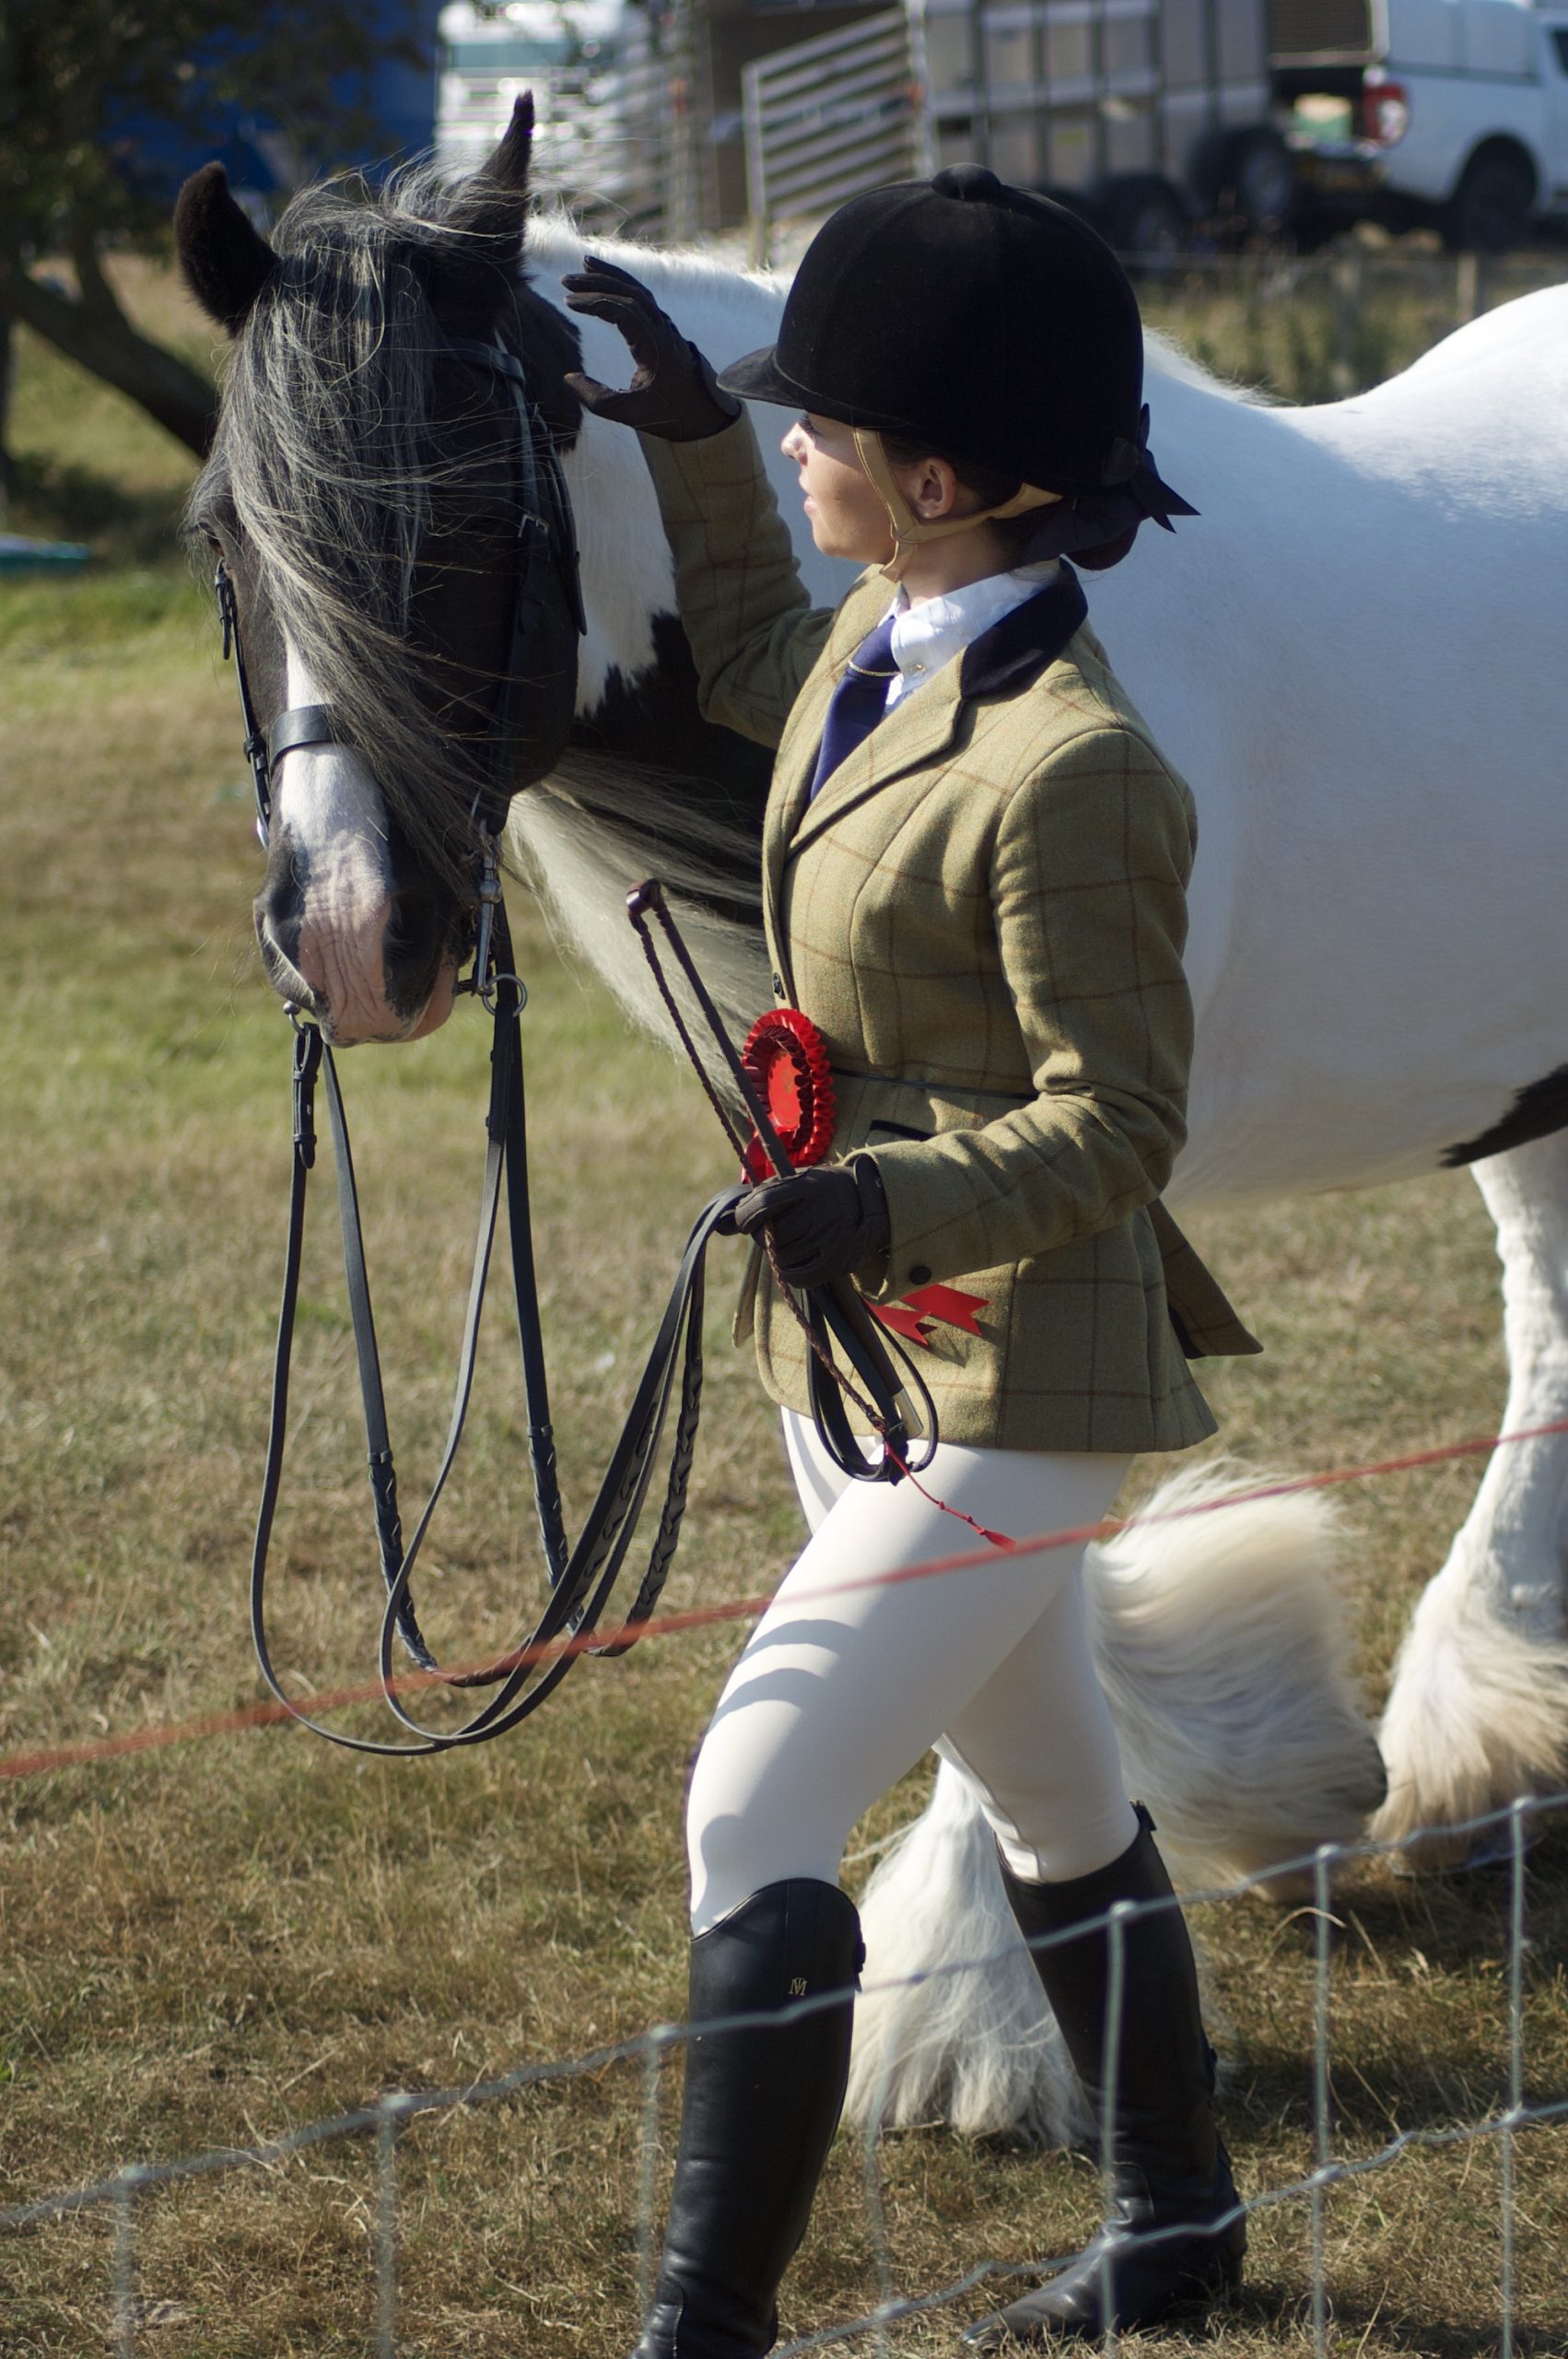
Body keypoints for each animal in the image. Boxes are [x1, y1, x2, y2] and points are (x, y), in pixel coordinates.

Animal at [173, 100, 1568, 2141]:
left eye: (478, 516)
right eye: (221, 534)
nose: (350, 936)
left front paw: (973, 2002)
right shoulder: (827, 1205)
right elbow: (901, 1514)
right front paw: (1233, 1775)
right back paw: (1485, 1738)